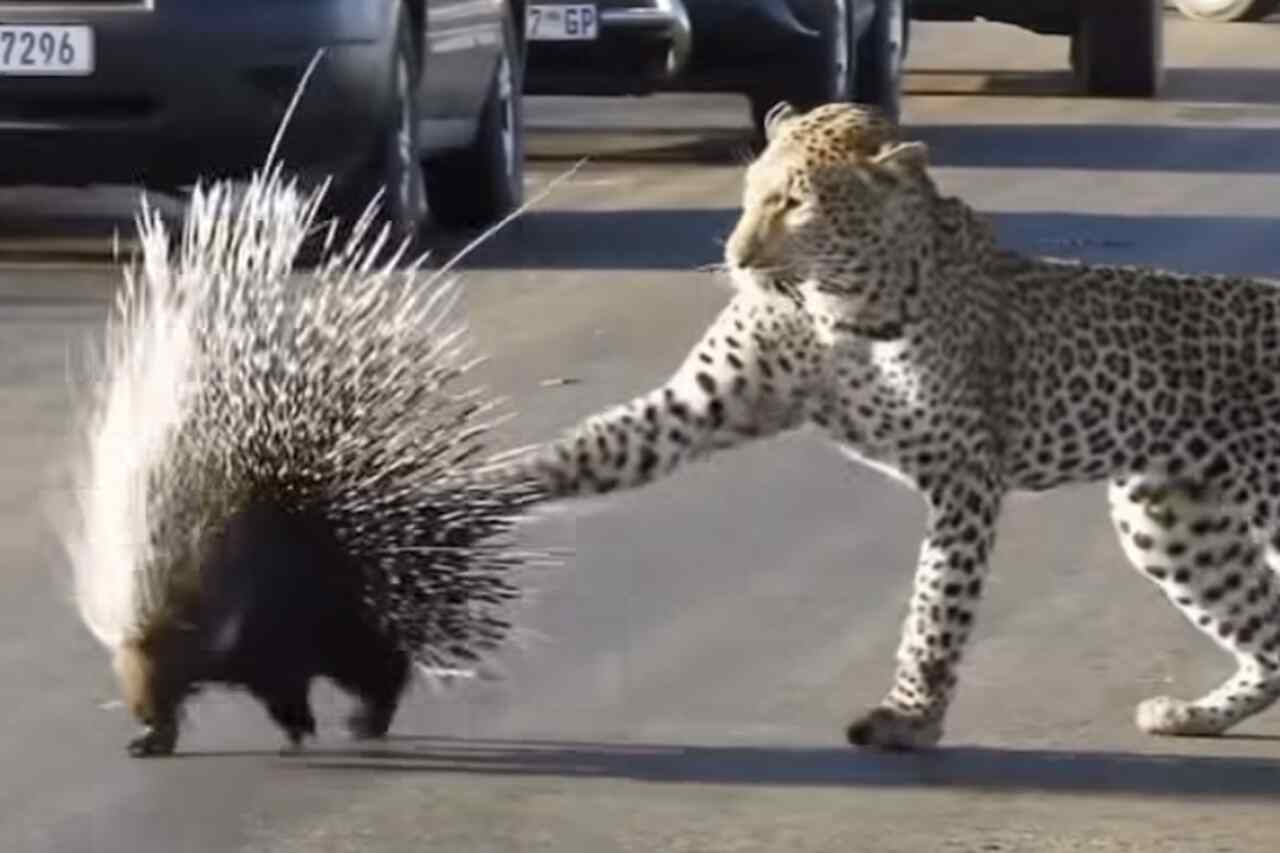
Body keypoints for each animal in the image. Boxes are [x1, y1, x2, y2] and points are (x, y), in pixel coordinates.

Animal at [495, 100, 1280, 750]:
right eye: (748, 192)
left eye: (794, 202)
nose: (735, 256)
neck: (843, 302)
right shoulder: (701, 403)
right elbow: (596, 445)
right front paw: (487, 487)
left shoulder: (965, 472)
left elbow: (937, 603)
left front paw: (910, 718)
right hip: (1169, 521)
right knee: (1270, 637)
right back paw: (1192, 715)